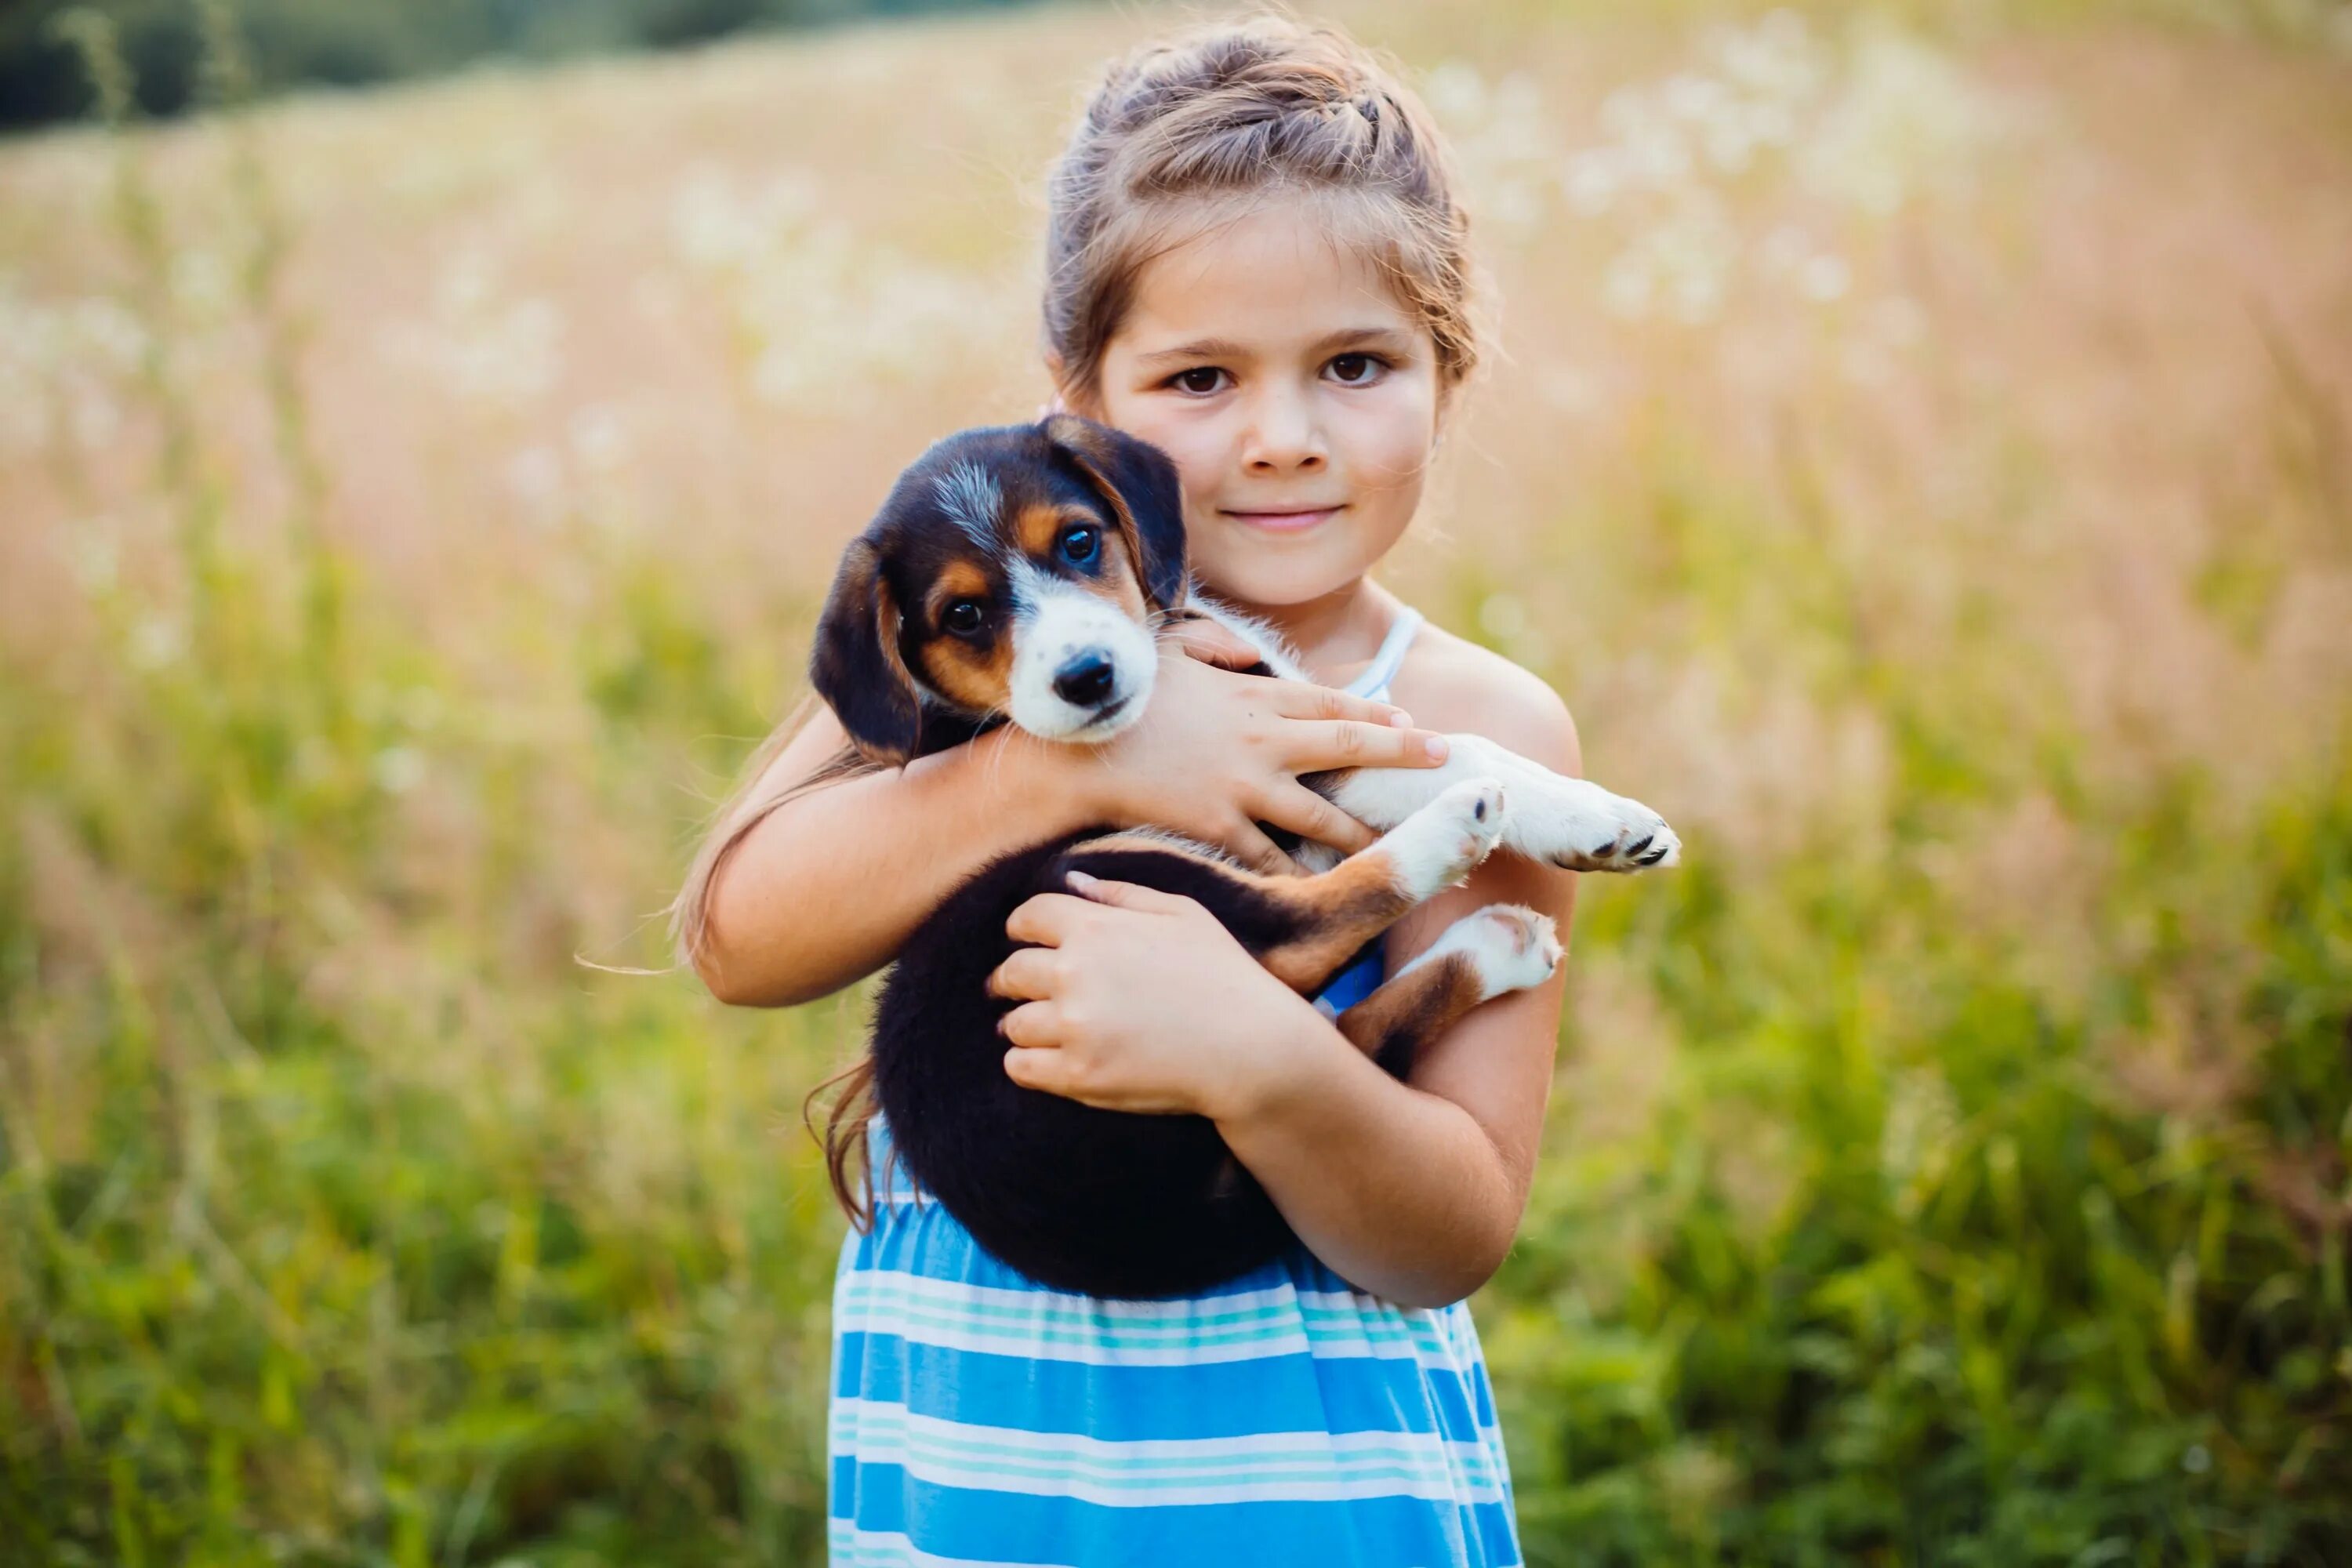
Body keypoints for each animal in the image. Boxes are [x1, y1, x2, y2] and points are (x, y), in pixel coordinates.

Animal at [818, 416, 1684, 1298]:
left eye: (1079, 541)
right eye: (962, 614)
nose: (1086, 677)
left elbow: (1456, 741)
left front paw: (1606, 815)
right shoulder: (1283, 755)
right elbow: (1457, 752)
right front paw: (1592, 818)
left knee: (1338, 1034)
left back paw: (1496, 944)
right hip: (1079, 868)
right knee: (1304, 938)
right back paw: (1455, 841)